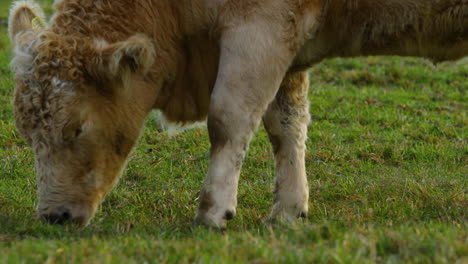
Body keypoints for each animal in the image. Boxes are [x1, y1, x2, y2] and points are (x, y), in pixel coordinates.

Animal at [7, 0, 468, 229]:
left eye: (77, 128)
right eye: (28, 134)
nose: (53, 217)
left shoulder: (260, 27)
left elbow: (229, 119)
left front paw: (213, 209)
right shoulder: (286, 46)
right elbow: (285, 124)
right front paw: (289, 210)